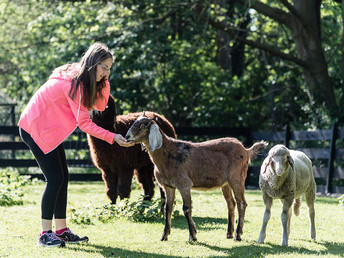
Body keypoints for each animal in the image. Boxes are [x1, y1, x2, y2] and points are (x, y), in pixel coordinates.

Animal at [125, 114, 268, 241]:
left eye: (143, 125)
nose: (127, 137)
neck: (167, 154)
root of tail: (246, 150)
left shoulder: (184, 184)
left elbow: (186, 208)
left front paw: (192, 236)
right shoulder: (168, 186)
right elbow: (167, 209)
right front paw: (164, 236)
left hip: (237, 178)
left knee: (241, 203)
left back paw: (237, 235)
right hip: (225, 183)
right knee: (231, 204)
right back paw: (229, 233)